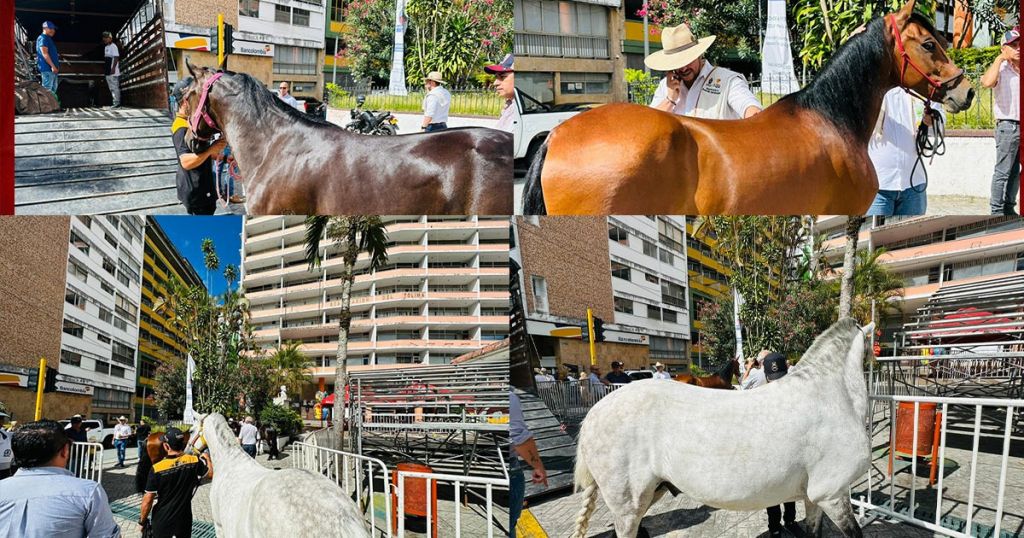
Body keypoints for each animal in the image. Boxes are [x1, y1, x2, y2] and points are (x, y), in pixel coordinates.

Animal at [573, 317, 876, 532]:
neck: (830, 395)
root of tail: (592, 415)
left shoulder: (814, 497)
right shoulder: (832, 494)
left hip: (650, 493)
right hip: (627, 505)